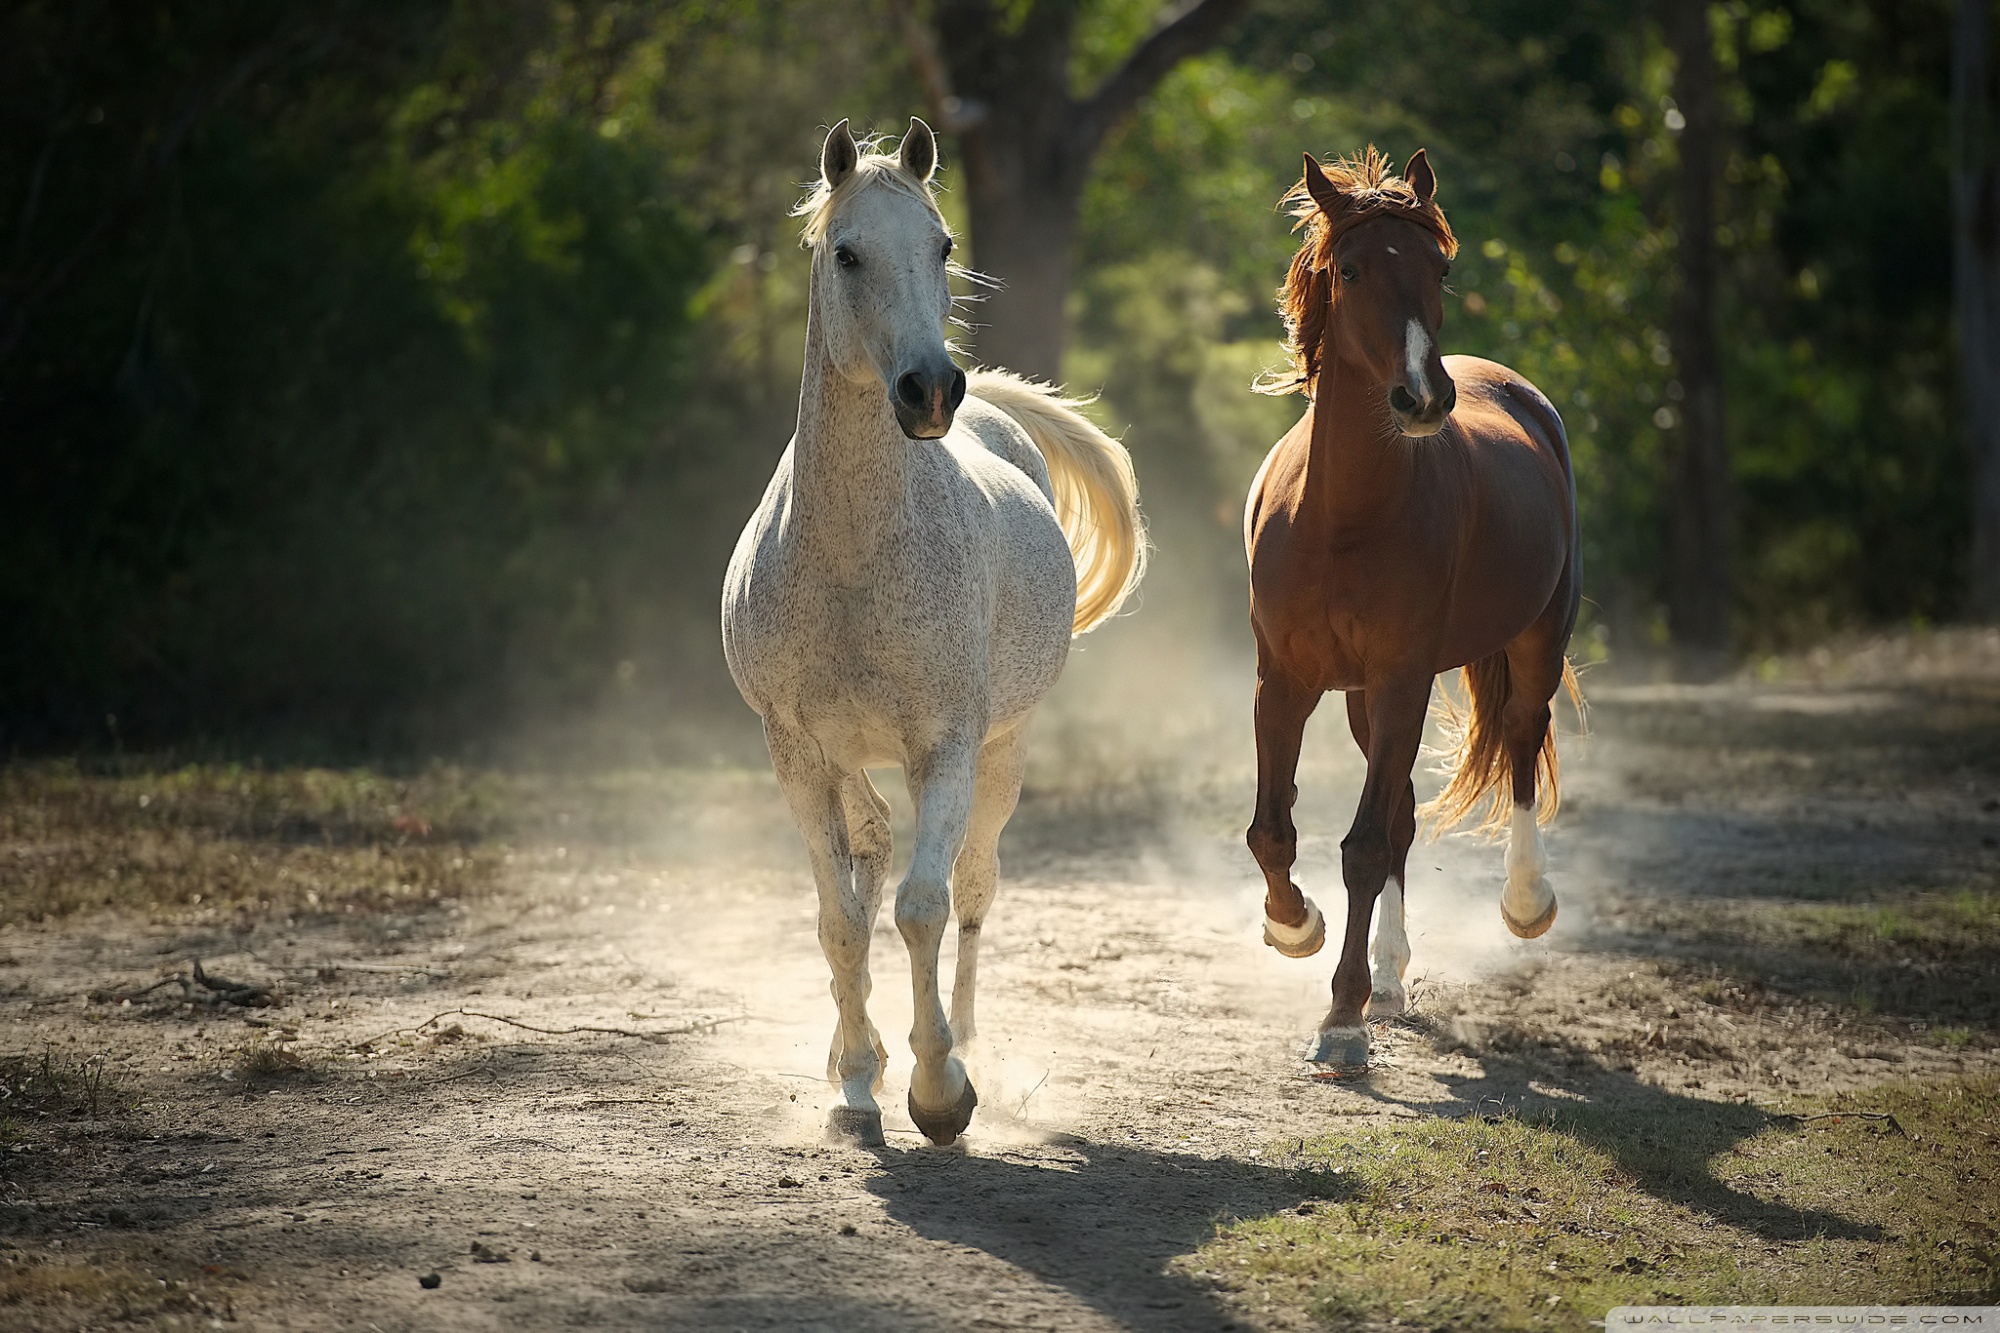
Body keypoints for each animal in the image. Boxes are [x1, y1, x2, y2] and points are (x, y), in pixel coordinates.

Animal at [721, 118, 1146, 1147]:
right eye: (847, 252)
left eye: (943, 245)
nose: (928, 390)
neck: (851, 557)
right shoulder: (796, 751)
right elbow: (840, 918)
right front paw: (857, 1085)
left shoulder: (945, 747)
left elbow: (924, 905)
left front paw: (939, 1088)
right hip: (847, 757)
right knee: (870, 850)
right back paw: (855, 1059)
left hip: (1005, 751)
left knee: (974, 890)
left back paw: (967, 1048)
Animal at [1243, 147, 1582, 1068]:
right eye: (1351, 269)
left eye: (1441, 268)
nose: (1424, 397)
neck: (1342, 517)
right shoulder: (1285, 681)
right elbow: (1275, 831)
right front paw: (1295, 926)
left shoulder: (1403, 678)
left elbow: (1360, 847)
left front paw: (1341, 1017)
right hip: (1362, 698)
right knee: (1398, 815)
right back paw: (1391, 978)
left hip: (1535, 638)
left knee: (1521, 740)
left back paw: (1526, 901)